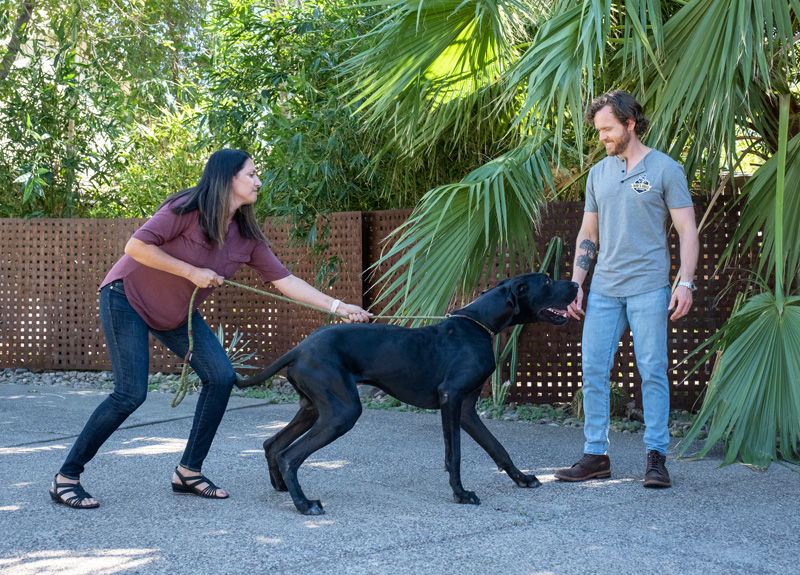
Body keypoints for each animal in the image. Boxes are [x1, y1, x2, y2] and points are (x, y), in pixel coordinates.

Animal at [234, 272, 580, 516]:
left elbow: (497, 447)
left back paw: (282, 488)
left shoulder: (467, 409)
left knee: (272, 444)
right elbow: (454, 455)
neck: (477, 325)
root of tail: (299, 347)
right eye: (547, 281)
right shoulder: (451, 398)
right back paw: (304, 504)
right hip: (342, 412)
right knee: (289, 454)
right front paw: (461, 494)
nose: (576, 283)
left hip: (314, 408)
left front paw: (521, 478)